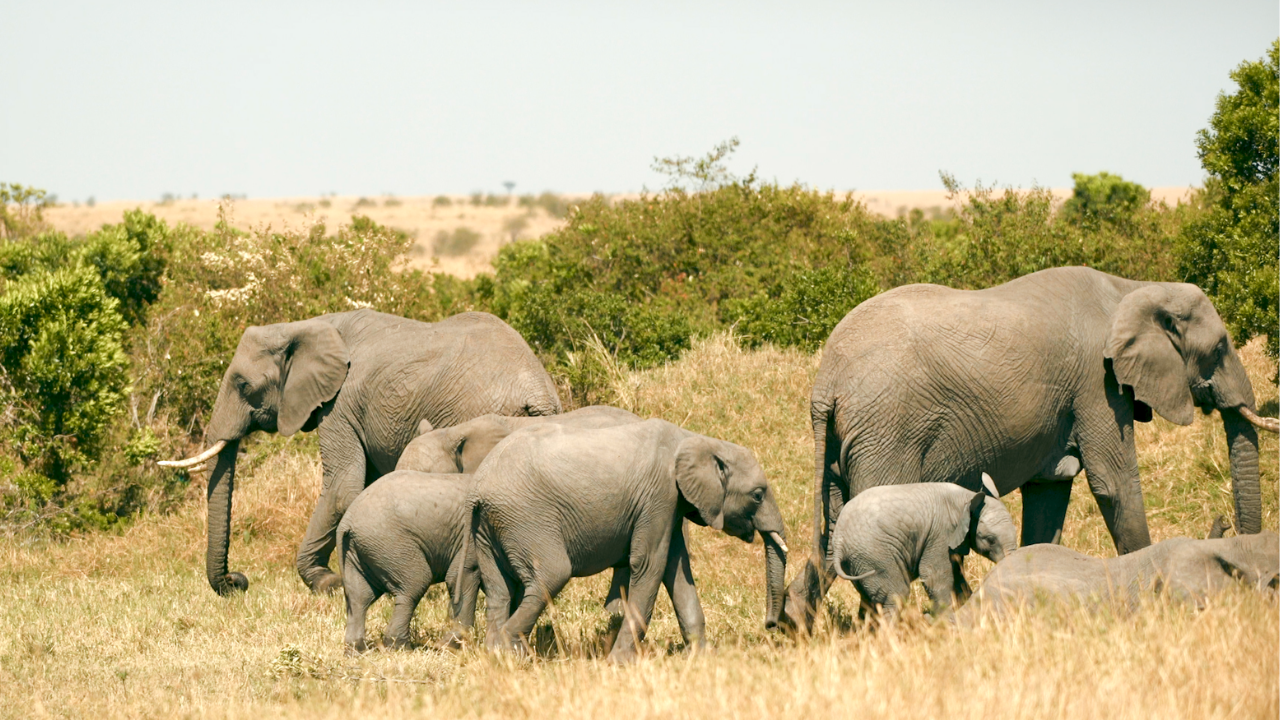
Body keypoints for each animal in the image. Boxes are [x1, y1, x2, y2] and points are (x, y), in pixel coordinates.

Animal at [158, 309, 562, 595]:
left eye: (243, 385)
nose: (237, 582)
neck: (306, 326)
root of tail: (538, 390)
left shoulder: (340, 403)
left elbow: (342, 487)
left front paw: (327, 584)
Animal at [337, 470, 477, 653]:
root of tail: (346, 521)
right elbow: (465, 575)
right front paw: (452, 647)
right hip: (391, 544)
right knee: (415, 584)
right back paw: (401, 647)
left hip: (356, 549)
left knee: (359, 596)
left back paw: (357, 650)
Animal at [470, 419, 789, 662]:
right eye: (758, 495)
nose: (771, 625)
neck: (698, 440)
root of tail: (480, 486)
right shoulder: (659, 496)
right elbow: (649, 565)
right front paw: (618, 663)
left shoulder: (671, 505)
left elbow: (676, 570)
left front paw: (701, 659)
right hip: (526, 518)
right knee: (552, 574)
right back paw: (514, 654)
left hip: (487, 528)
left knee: (499, 590)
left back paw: (495, 656)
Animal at [831, 484, 1017, 619]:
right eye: (991, 540)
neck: (967, 497)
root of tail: (839, 540)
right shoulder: (940, 533)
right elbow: (934, 576)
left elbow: (956, 575)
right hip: (875, 554)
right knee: (896, 595)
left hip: (859, 561)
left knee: (870, 599)